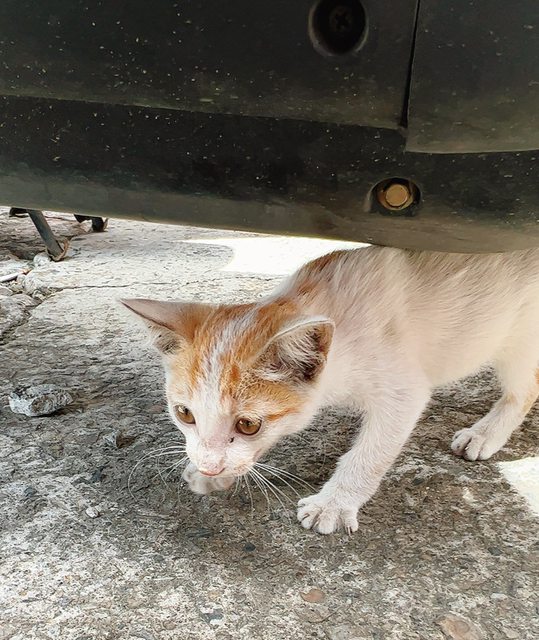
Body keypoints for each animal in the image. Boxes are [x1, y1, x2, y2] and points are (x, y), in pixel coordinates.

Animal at [122, 246, 539, 534]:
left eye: (247, 425)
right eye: (184, 414)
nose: (209, 464)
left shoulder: (403, 388)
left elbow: (371, 452)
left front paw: (335, 503)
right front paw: (213, 473)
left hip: (520, 338)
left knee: (525, 387)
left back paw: (486, 433)